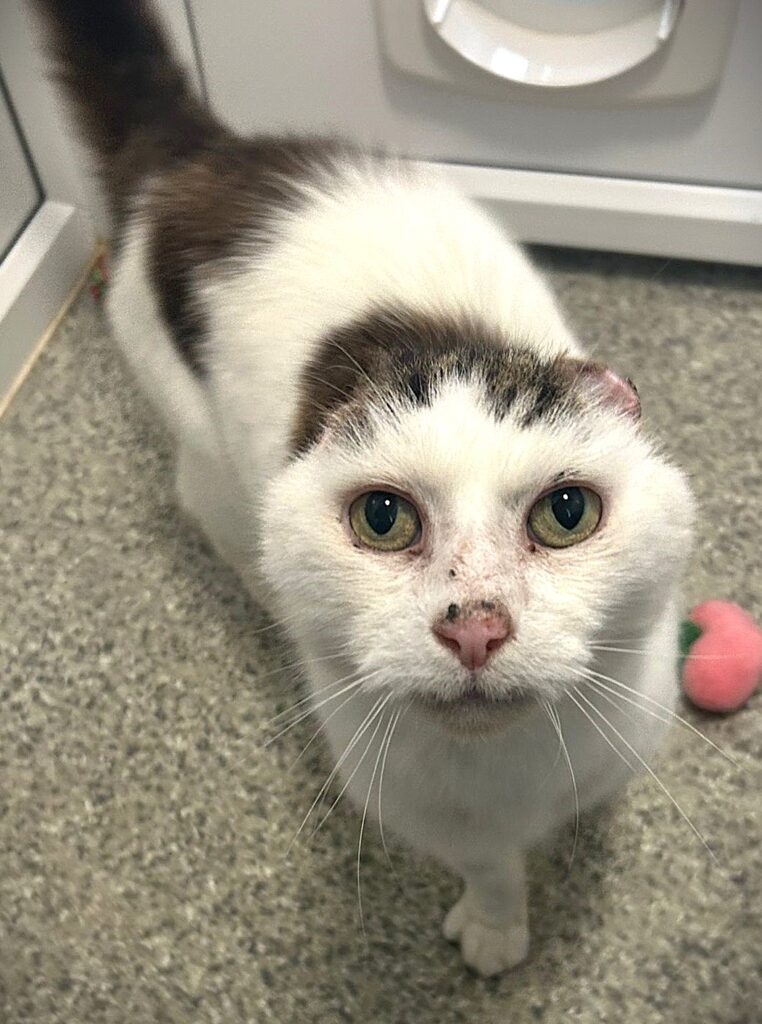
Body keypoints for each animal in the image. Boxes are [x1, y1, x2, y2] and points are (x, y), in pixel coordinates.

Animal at [32, 0, 692, 974]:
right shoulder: (428, 812)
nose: (475, 626)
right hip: (202, 443)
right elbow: (489, 867)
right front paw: (499, 924)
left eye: (566, 512)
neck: (510, 769)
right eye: (383, 519)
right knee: (204, 501)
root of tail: (202, 154)